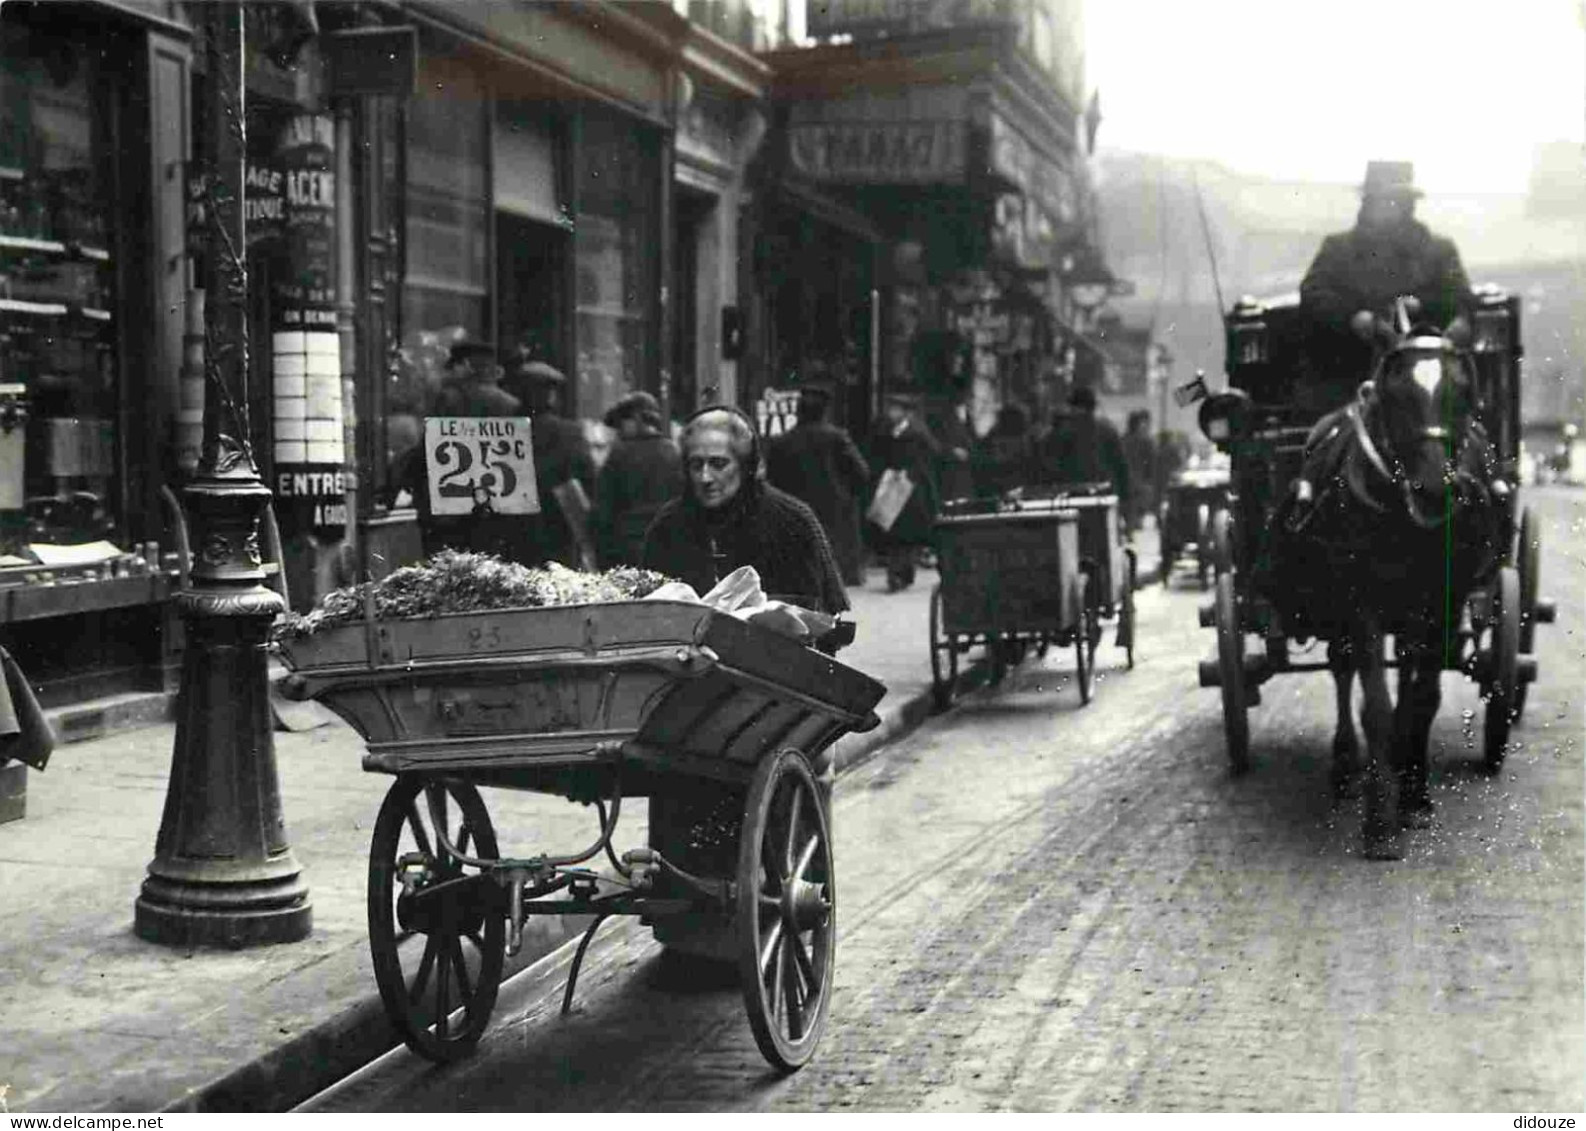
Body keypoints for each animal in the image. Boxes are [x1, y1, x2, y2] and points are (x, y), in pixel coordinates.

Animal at [1268, 309, 1503, 856]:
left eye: (1463, 388)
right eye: (1392, 391)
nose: (1434, 489)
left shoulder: (1441, 605)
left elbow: (1423, 699)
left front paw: (1414, 794)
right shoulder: (1362, 605)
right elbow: (1375, 704)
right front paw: (1379, 822)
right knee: (1342, 670)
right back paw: (1345, 763)